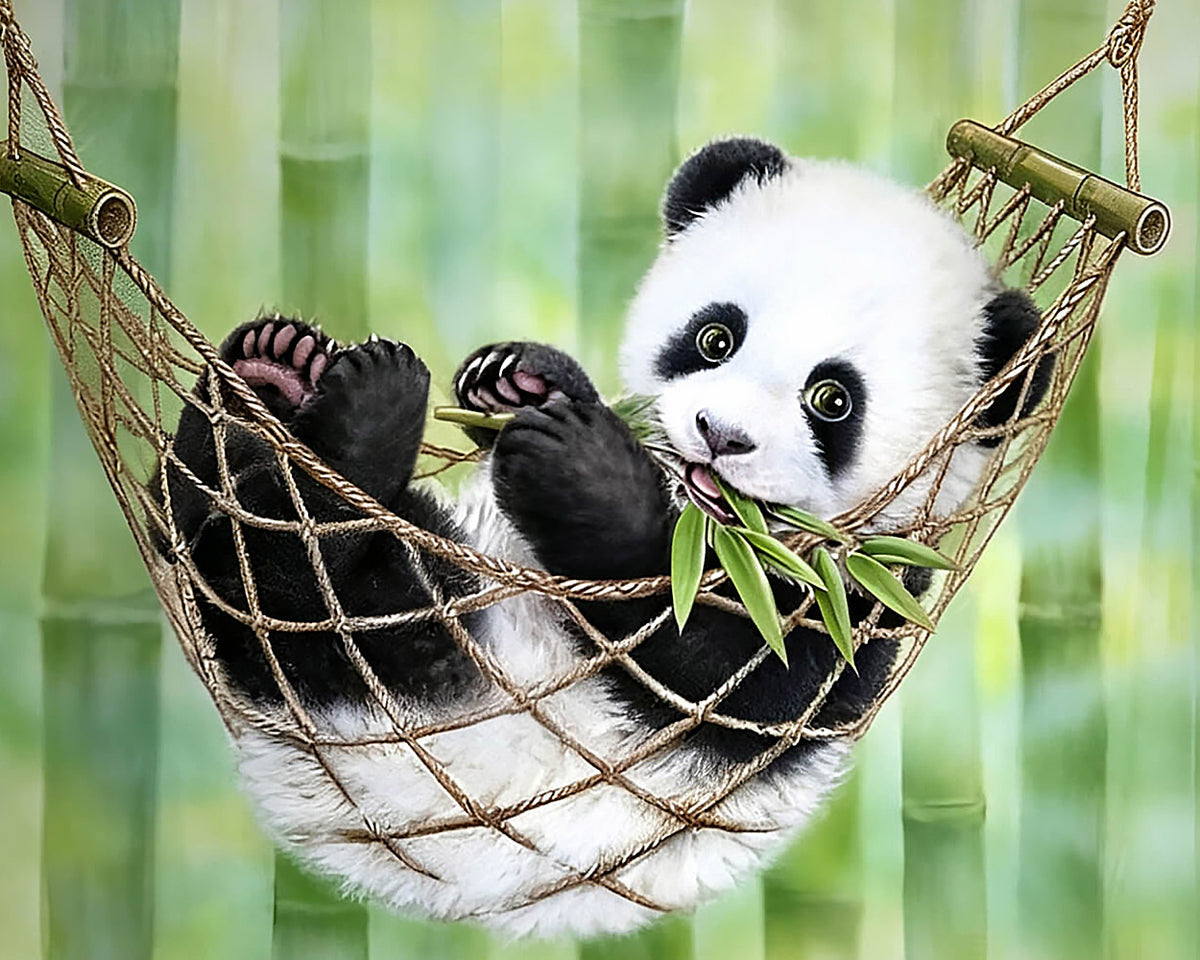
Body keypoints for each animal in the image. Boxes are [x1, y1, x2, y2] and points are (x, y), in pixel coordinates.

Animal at [162, 137, 1045, 938]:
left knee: (295, 589)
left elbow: (706, 671)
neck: (710, 528)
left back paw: (355, 429)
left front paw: (583, 473)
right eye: (715, 338)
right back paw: (268, 376)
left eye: (832, 398)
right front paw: (521, 380)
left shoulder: (849, 611)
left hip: (418, 673)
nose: (719, 436)